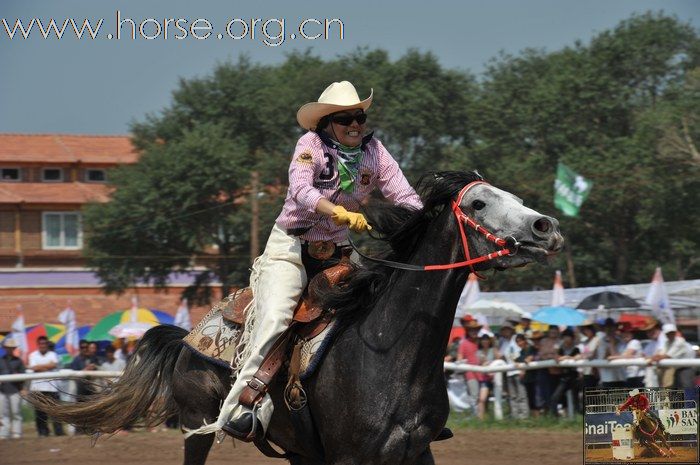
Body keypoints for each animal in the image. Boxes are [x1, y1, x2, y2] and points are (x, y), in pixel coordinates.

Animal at [28, 172, 564, 462]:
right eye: (479, 202)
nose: (547, 226)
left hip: (301, 452)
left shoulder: (416, 451)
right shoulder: (352, 458)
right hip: (195, 426)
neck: (391, 355)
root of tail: (187, 337)